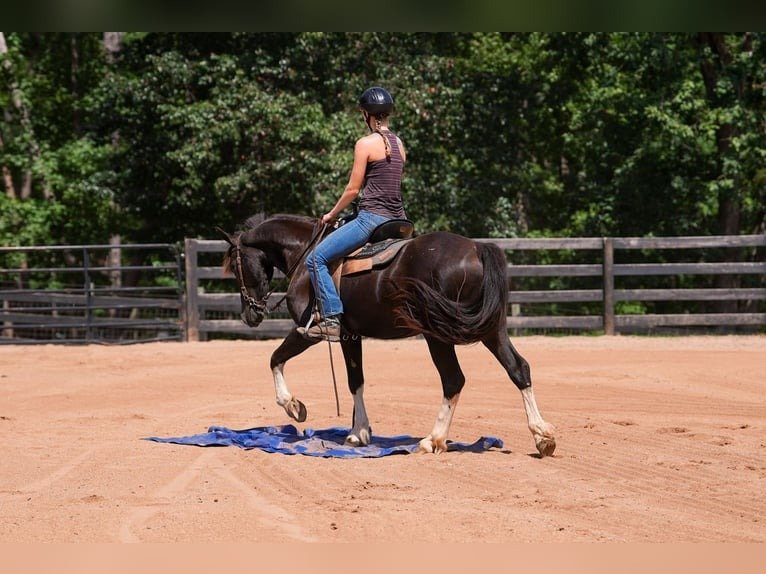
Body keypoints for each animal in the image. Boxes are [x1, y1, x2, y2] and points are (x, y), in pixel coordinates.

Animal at [220, 213, 556, 456]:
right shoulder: (350, 336)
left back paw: (432, 439)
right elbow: (356, 380)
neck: (307, 256)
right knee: (518, 369)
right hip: (492, 330)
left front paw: (294, 406)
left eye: (237, 267)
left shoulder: (310, 331)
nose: (249, 315)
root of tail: (476, 248)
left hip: (438, 335)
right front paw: (358, 431)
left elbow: (275, 359)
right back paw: (542, 436)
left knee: (453, 380)